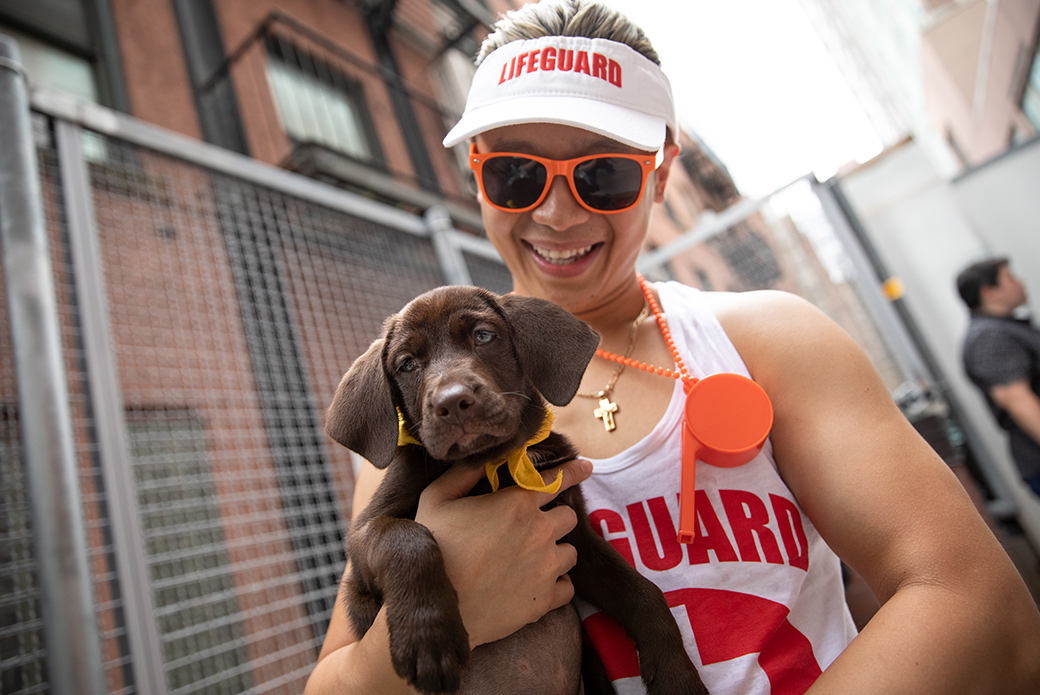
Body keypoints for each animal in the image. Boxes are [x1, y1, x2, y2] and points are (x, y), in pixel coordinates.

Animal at [326, 285, 707, 690]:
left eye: (483, 336)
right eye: (407, 364)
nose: (452, 402)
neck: (495, 462)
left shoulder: (575, 536)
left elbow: (644, 593)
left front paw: (677, 676)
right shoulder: (362, 545)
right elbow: (404, 536)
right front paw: (427, 637)